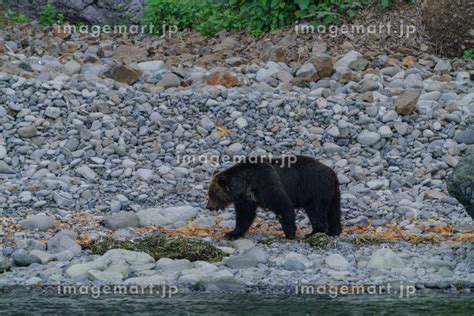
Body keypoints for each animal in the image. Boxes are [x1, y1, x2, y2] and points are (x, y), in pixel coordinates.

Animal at [206, 156, 340, 239]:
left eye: (212, 194)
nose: (208, 207)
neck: (247, 183)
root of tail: (332, 173)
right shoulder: (246, 199)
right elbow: (244, 215)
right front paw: (232, 233)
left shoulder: (267, 183)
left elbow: (283, 205)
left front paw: (289, 234)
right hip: (333, 193)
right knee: (333, 211)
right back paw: (334, 231)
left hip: (314, 188)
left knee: (316, 211)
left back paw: (314, 232)